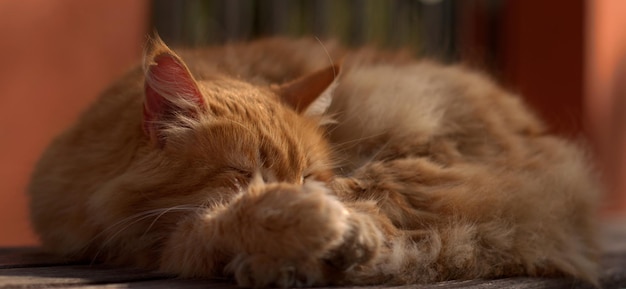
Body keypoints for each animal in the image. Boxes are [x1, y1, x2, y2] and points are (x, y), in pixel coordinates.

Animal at [25, 36, 600, 286]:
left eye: (307, 175)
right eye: (244, 173)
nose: (301, 190)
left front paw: (320, 229)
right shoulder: (168, 240)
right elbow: (228, 220)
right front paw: (296, 227)